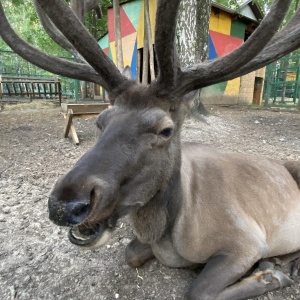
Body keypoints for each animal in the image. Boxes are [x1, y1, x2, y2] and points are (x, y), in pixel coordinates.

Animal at [1, 0, 300, 300]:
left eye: (166, 130)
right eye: (101, 121)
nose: (65, 205)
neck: (169, 233)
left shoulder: (246, 241)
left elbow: (198, 291)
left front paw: (271, 274)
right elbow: (130, 253)